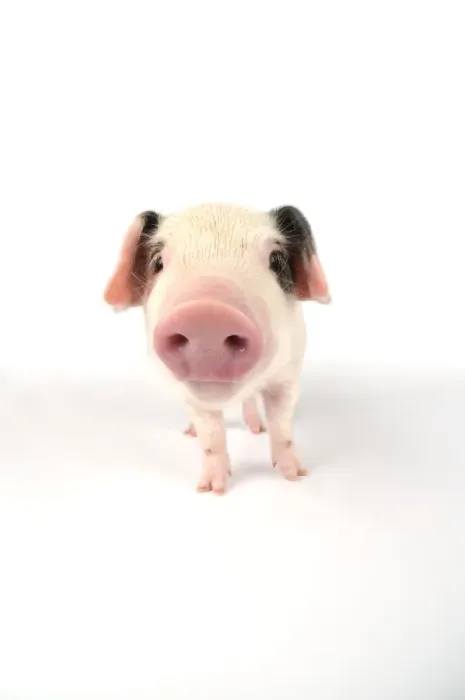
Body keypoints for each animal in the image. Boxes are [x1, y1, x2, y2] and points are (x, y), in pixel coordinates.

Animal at [104, 204, 330, 494]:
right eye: (158, 262)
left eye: (277, 261)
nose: (207, 315)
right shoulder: (191, 396)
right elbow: (211, 436)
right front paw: (211, 490)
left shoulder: (289, 372)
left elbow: (282, 424)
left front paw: (296, 476)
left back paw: (256, 428)